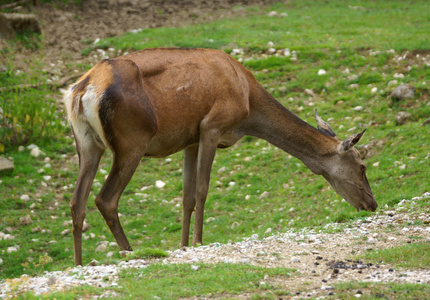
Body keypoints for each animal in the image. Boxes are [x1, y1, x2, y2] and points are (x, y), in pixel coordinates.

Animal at [63, 48, 376, 266]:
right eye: (362, 166)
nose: (372, 204)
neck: (248, 103)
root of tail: (82, 90)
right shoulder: (211, 126)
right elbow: (202, 190)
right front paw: (199, 241)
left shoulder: (189, 139)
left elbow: (187, 197)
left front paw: (183, 245)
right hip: (132, 141)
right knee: (105, 199)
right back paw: (130, 251)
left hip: (87, 143)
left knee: (77, 200)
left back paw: (78, 263)